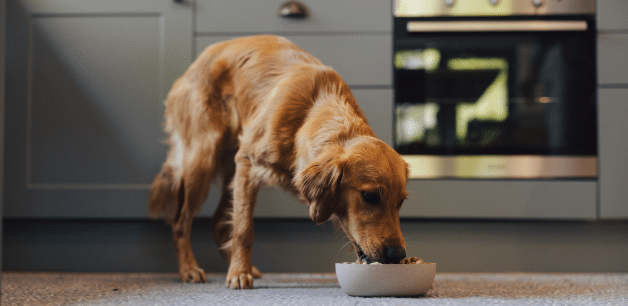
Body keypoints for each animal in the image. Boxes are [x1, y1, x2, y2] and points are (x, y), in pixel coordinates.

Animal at [149, 35, 410, 290]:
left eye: (400, 202)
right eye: (370, 197)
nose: (397, 255)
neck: (309, 113)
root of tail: (195, 64)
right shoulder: (248, 162)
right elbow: (244, 229)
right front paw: (239, 274)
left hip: (230, 170)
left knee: (218, 223)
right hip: (203, 158)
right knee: (181, 222)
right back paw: (190, 270)